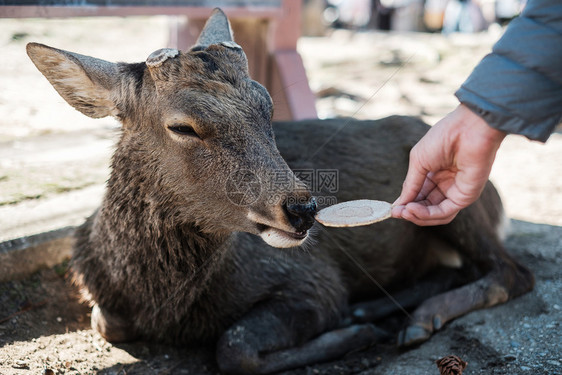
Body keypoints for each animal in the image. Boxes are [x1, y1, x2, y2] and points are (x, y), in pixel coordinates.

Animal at [26, 9, 532, 375]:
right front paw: (358, 325)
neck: (161, 301)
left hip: (456, 195)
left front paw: (353, 334)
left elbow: (234, 348)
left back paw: (414, 318)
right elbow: (107, 323)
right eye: (182, 126)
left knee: (511, 271)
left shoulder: (312, 279)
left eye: (267, 104)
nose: (303, 208)